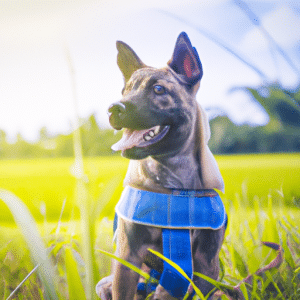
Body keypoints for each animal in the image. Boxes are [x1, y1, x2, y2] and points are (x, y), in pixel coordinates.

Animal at [97, 32, 226, 300]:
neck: (174, 182)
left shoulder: (207, 264)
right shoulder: (128, 257)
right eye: (124, 91)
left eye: (158, 89)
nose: (114, 108)